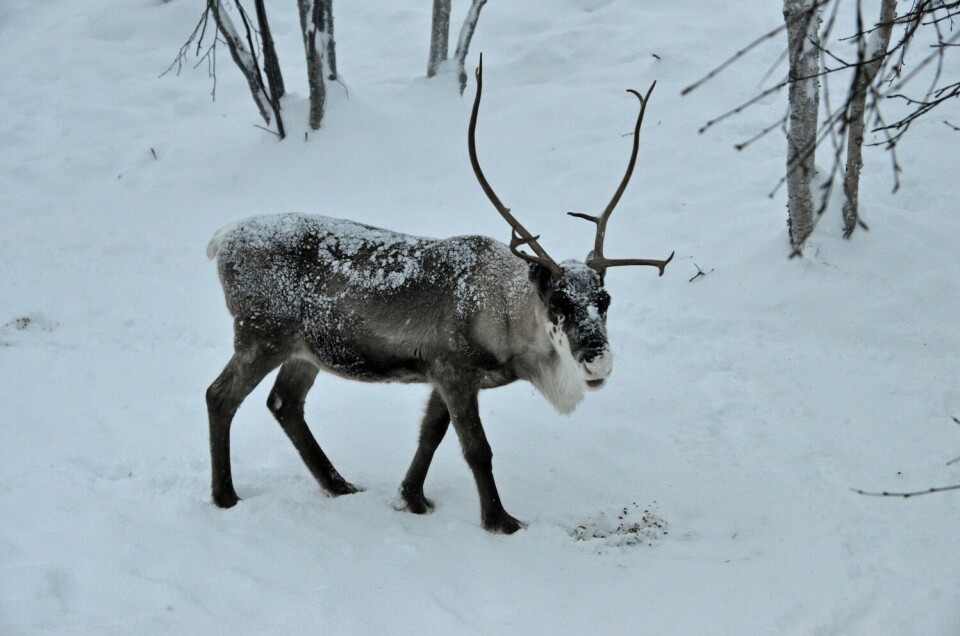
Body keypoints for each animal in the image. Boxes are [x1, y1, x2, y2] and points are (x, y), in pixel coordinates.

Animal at [205, 57, 673, 534]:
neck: (505, 315)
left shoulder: (442, 375)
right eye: (557, 301)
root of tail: (223, 240)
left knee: (285, 403)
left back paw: (339, 485)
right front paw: (500, 521)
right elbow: (477, 449)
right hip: (261, 336)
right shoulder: (453, 370)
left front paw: (411, 498)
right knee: (220, 396)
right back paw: (226, 496)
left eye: (605, 300)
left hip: (304, 351)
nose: (598, 360)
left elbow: (430, 434)